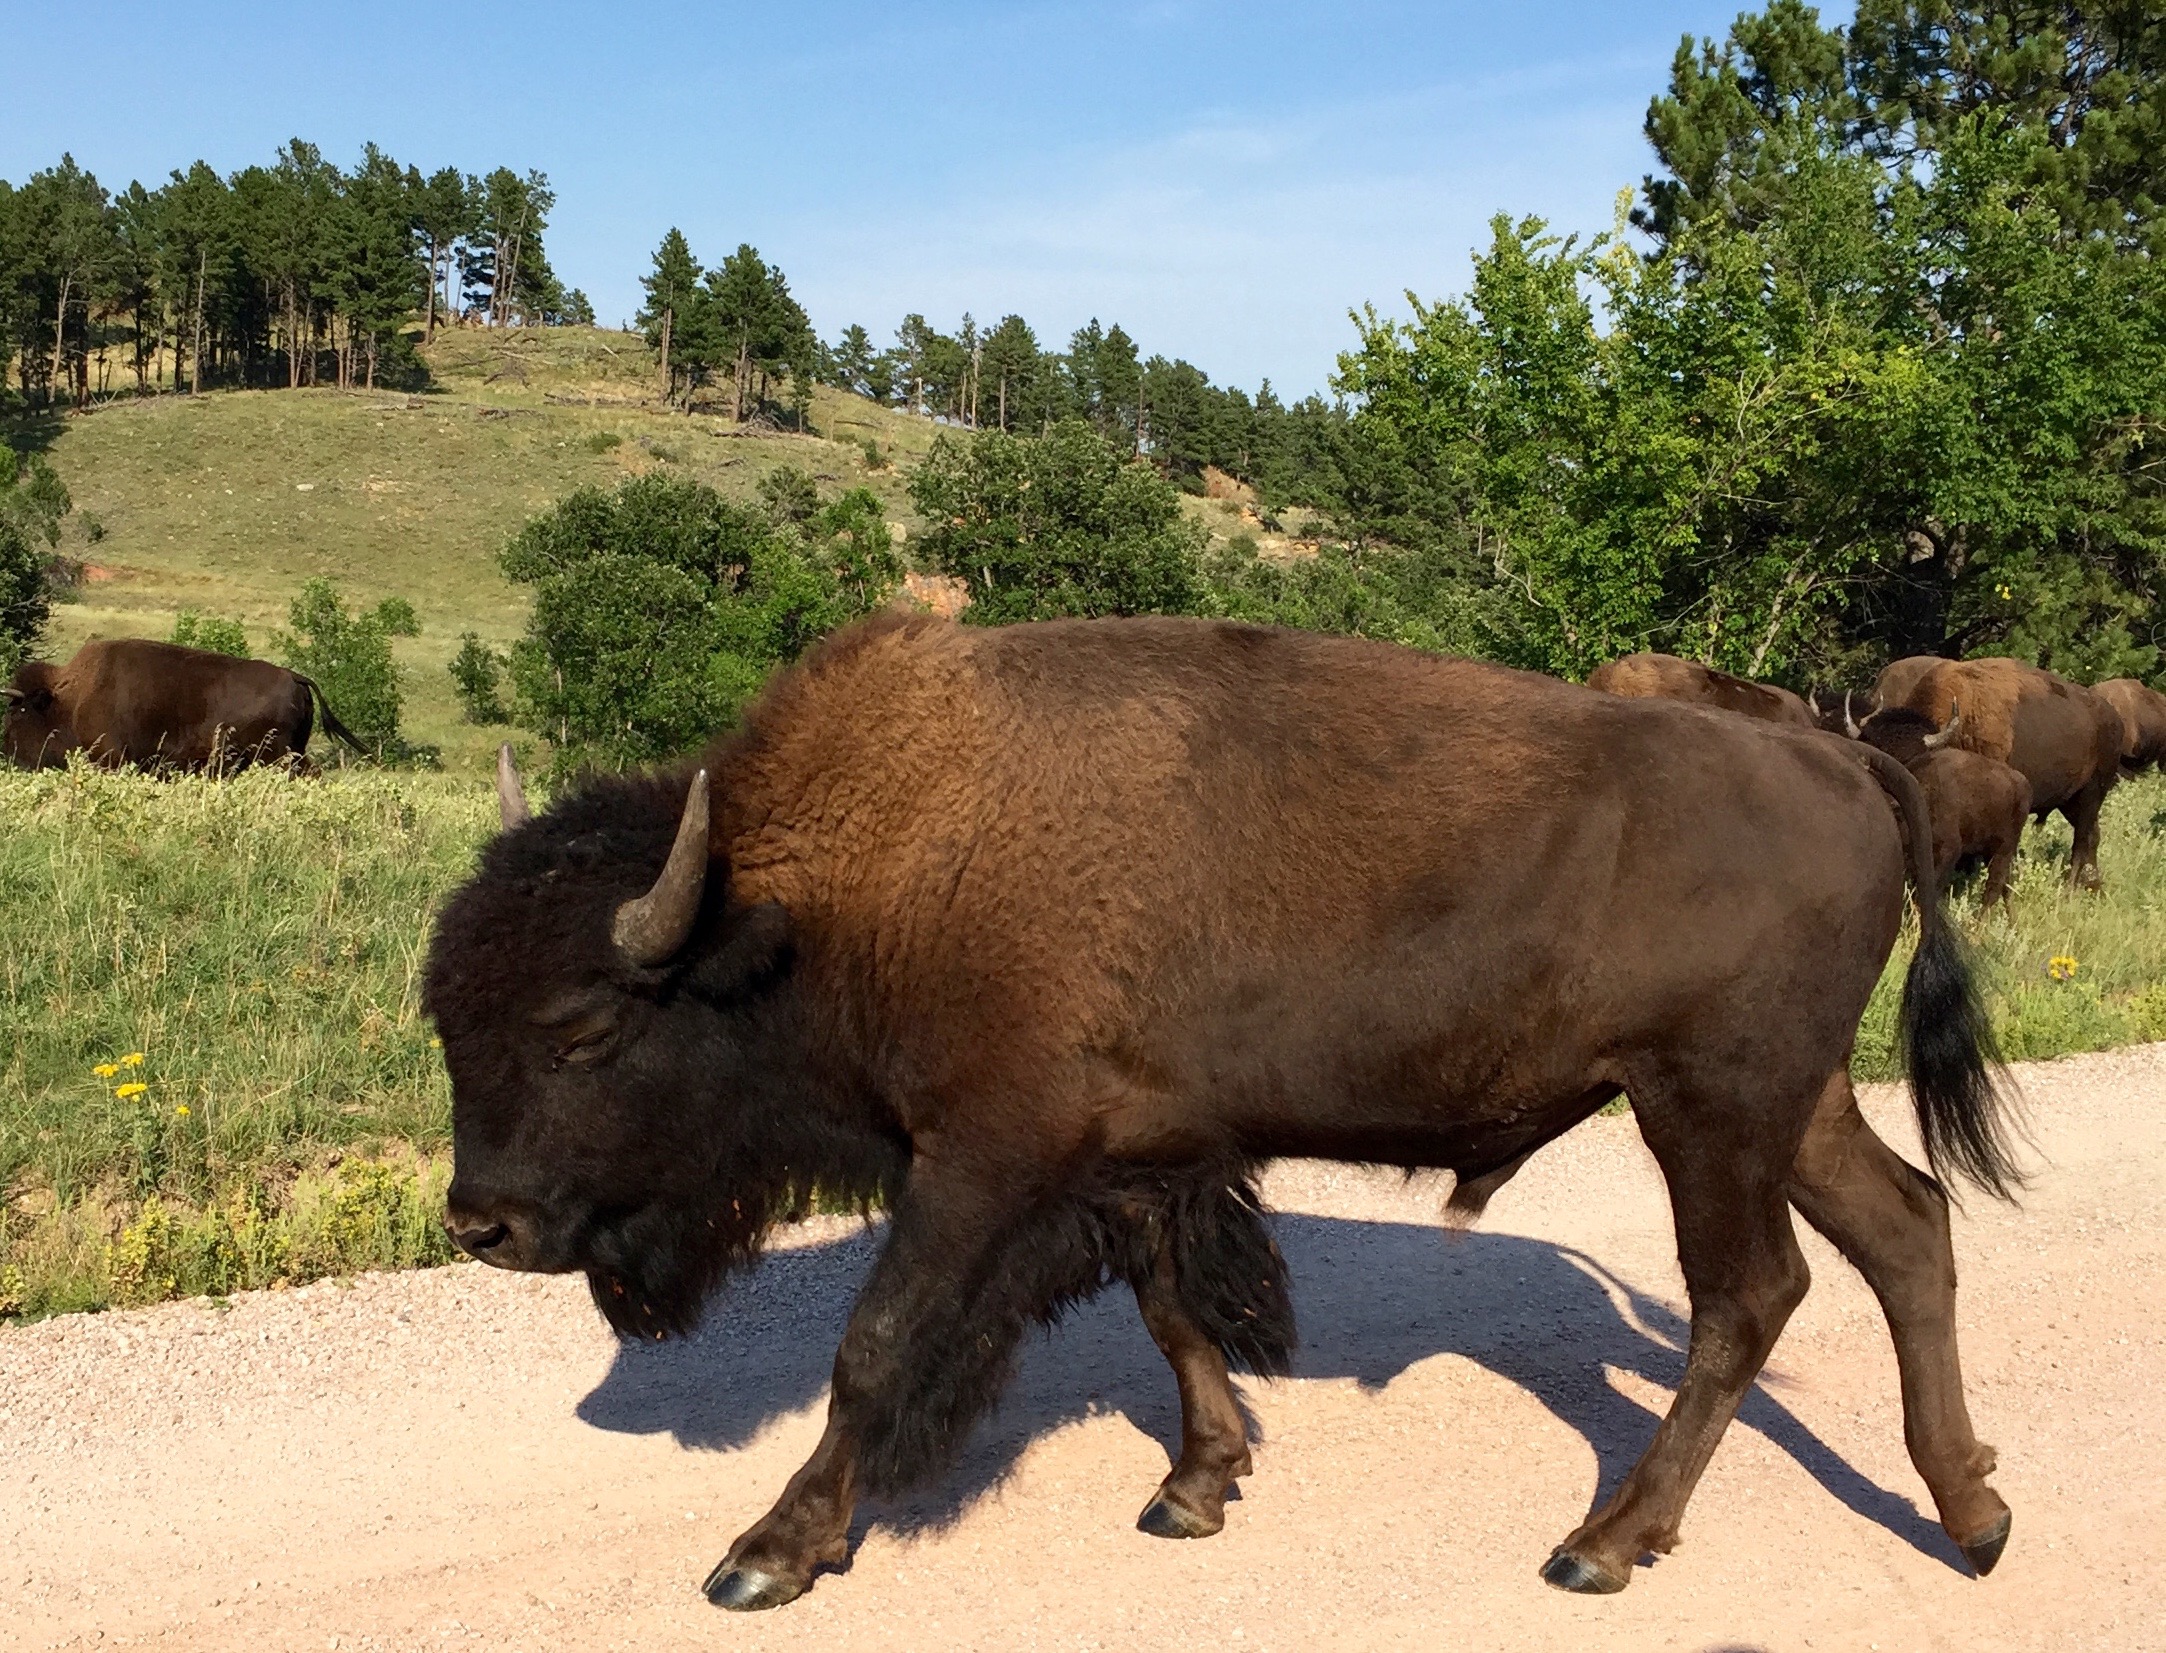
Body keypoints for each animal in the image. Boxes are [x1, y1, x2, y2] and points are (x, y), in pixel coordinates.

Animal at [2, 641, 366, 784]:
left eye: (18, 711)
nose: (8, 755)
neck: (70, 697)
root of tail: (295, 676)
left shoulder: (110, 758)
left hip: (280, 755)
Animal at [1845, 697, 2027, 905]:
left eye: (1911, 756)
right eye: (1874, 753)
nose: (1892, 802)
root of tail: (2021, 781)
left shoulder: (1948, 851)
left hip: (2004, 848)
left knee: (1994, 886)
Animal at [1888, 658, 2122, 892]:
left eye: (1912, 763)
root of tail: (2114, 718)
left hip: (2092, 793)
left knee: (2082, 840)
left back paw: (2069, 890)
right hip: (2070, 801)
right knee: (2093, 835)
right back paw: (2093, 886)